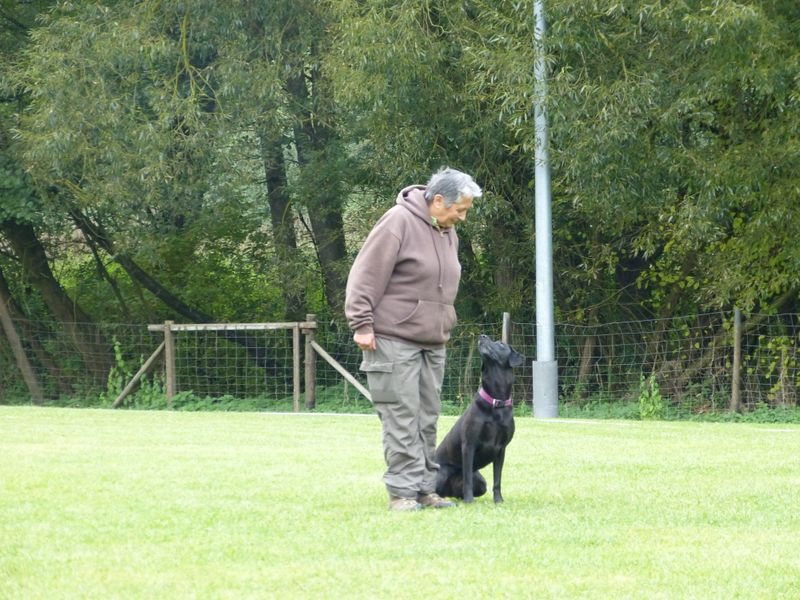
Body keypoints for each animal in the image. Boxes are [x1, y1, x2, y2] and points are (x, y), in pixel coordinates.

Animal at [435, 334, 525, 503]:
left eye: (501, 344)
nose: (483, 336)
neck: (496, 402)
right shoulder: (468, 445)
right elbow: (467, 479)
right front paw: (469, 501)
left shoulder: (501, 449)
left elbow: (497, 479)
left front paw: (498, 501)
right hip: (441, 473)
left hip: (481, 482)